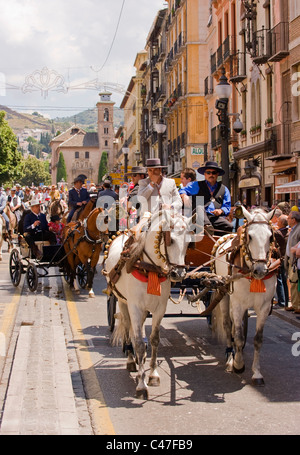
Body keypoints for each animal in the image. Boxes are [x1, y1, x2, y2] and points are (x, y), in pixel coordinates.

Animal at [103, 210, 192, 400]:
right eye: (171, 240)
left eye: (189, 242)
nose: (179, 273)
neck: (149, 268)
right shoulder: (135, 307)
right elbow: (137, 342)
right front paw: (141, 385)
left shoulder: (160, 309)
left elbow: (154, 340)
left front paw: (152, 375)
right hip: (122, 301)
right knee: (128, 327)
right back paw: (131, 360)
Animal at [212, 208, 278, 386]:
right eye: (250, 236)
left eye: (271, 236)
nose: (260, 270)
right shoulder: (237, 304)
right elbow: (240, 337)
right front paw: (238, 364)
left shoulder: (264, 307)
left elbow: (257, 339)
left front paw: (257, 373)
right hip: (224, 294)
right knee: (228, 324)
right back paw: (230, 356)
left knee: (235, 326)